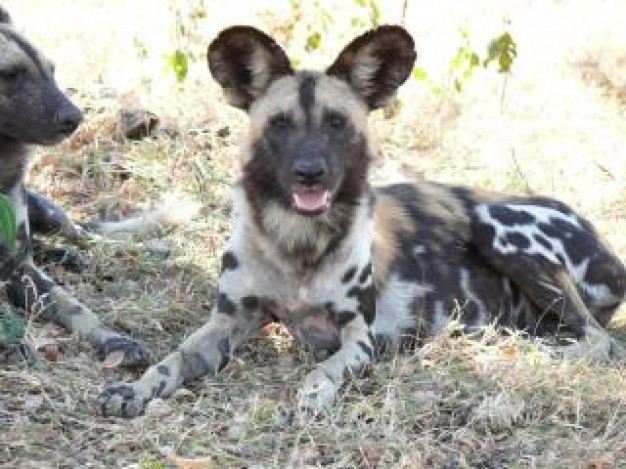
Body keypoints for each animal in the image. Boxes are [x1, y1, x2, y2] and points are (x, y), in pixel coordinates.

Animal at [0, 8, 150, 366]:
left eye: (51, 71)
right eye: (9, 74)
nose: (74, 118)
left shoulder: (20, 269)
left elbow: (75, 307)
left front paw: (114, 340)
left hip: (50, 215)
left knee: (84, 233)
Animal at [95, 24, 620, 416]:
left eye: (337, 123)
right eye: (280, 124)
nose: (310, 172)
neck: (296, 243)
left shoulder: (357, 338)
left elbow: (322, 371)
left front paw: (313, 397)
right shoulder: (228, 321)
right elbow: (173, 359)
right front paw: (135, 388)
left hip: (495, 223)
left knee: (603, 342)